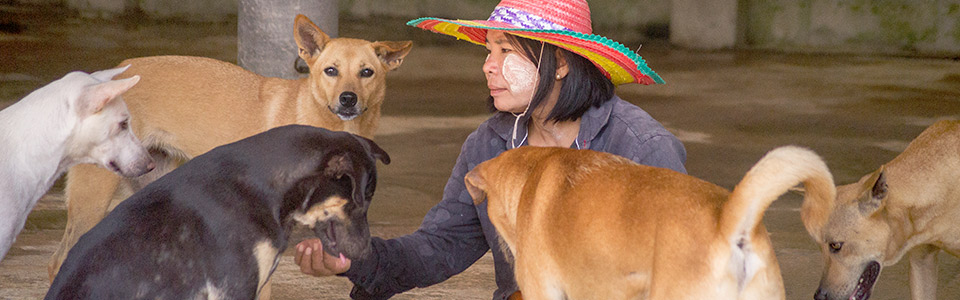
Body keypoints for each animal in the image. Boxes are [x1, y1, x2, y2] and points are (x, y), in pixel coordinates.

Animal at [47, 14, 412, 282]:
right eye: (330, 71)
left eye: (367, 72)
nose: (348, 99)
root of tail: (96, 80)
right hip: (92, 198)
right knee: (59, 261)